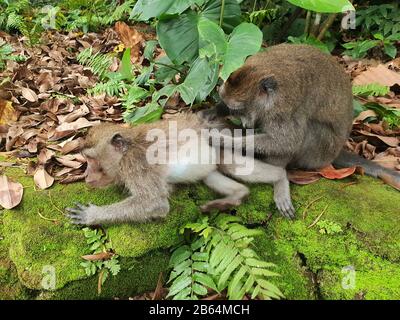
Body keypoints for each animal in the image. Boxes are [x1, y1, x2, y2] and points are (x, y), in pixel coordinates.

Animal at [203, 43, 400, 194]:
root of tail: (336, 152)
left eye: (241, 109)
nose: (244, 123)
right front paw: (212, 112)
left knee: (309, 129)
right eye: (233, 109)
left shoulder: (283, 109)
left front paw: (223, 140)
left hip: (320, 153)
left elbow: (287, 142)